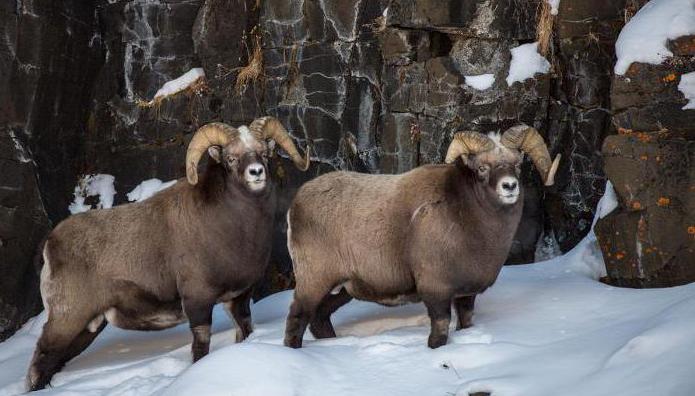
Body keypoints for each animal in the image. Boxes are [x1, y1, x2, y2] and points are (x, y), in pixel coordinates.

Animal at [27, 117, 310, 390]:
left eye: (263, 153)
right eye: (231, 158)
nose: (256, 172)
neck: (234, 227)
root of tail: (50, 245)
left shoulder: (238, 298)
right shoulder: (198, 301)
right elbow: (200, 347)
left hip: (87, 328)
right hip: (67, 321)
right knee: (40, 363)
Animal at [282, 125, 560, 348]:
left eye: (517, 165)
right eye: (482, 168)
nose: (509, 186)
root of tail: (296, 204)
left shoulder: (465, 296)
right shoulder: (436, 291)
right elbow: (439, 334)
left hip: (342, 290)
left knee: (319, 319)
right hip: (314, 282)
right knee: (298, 317)